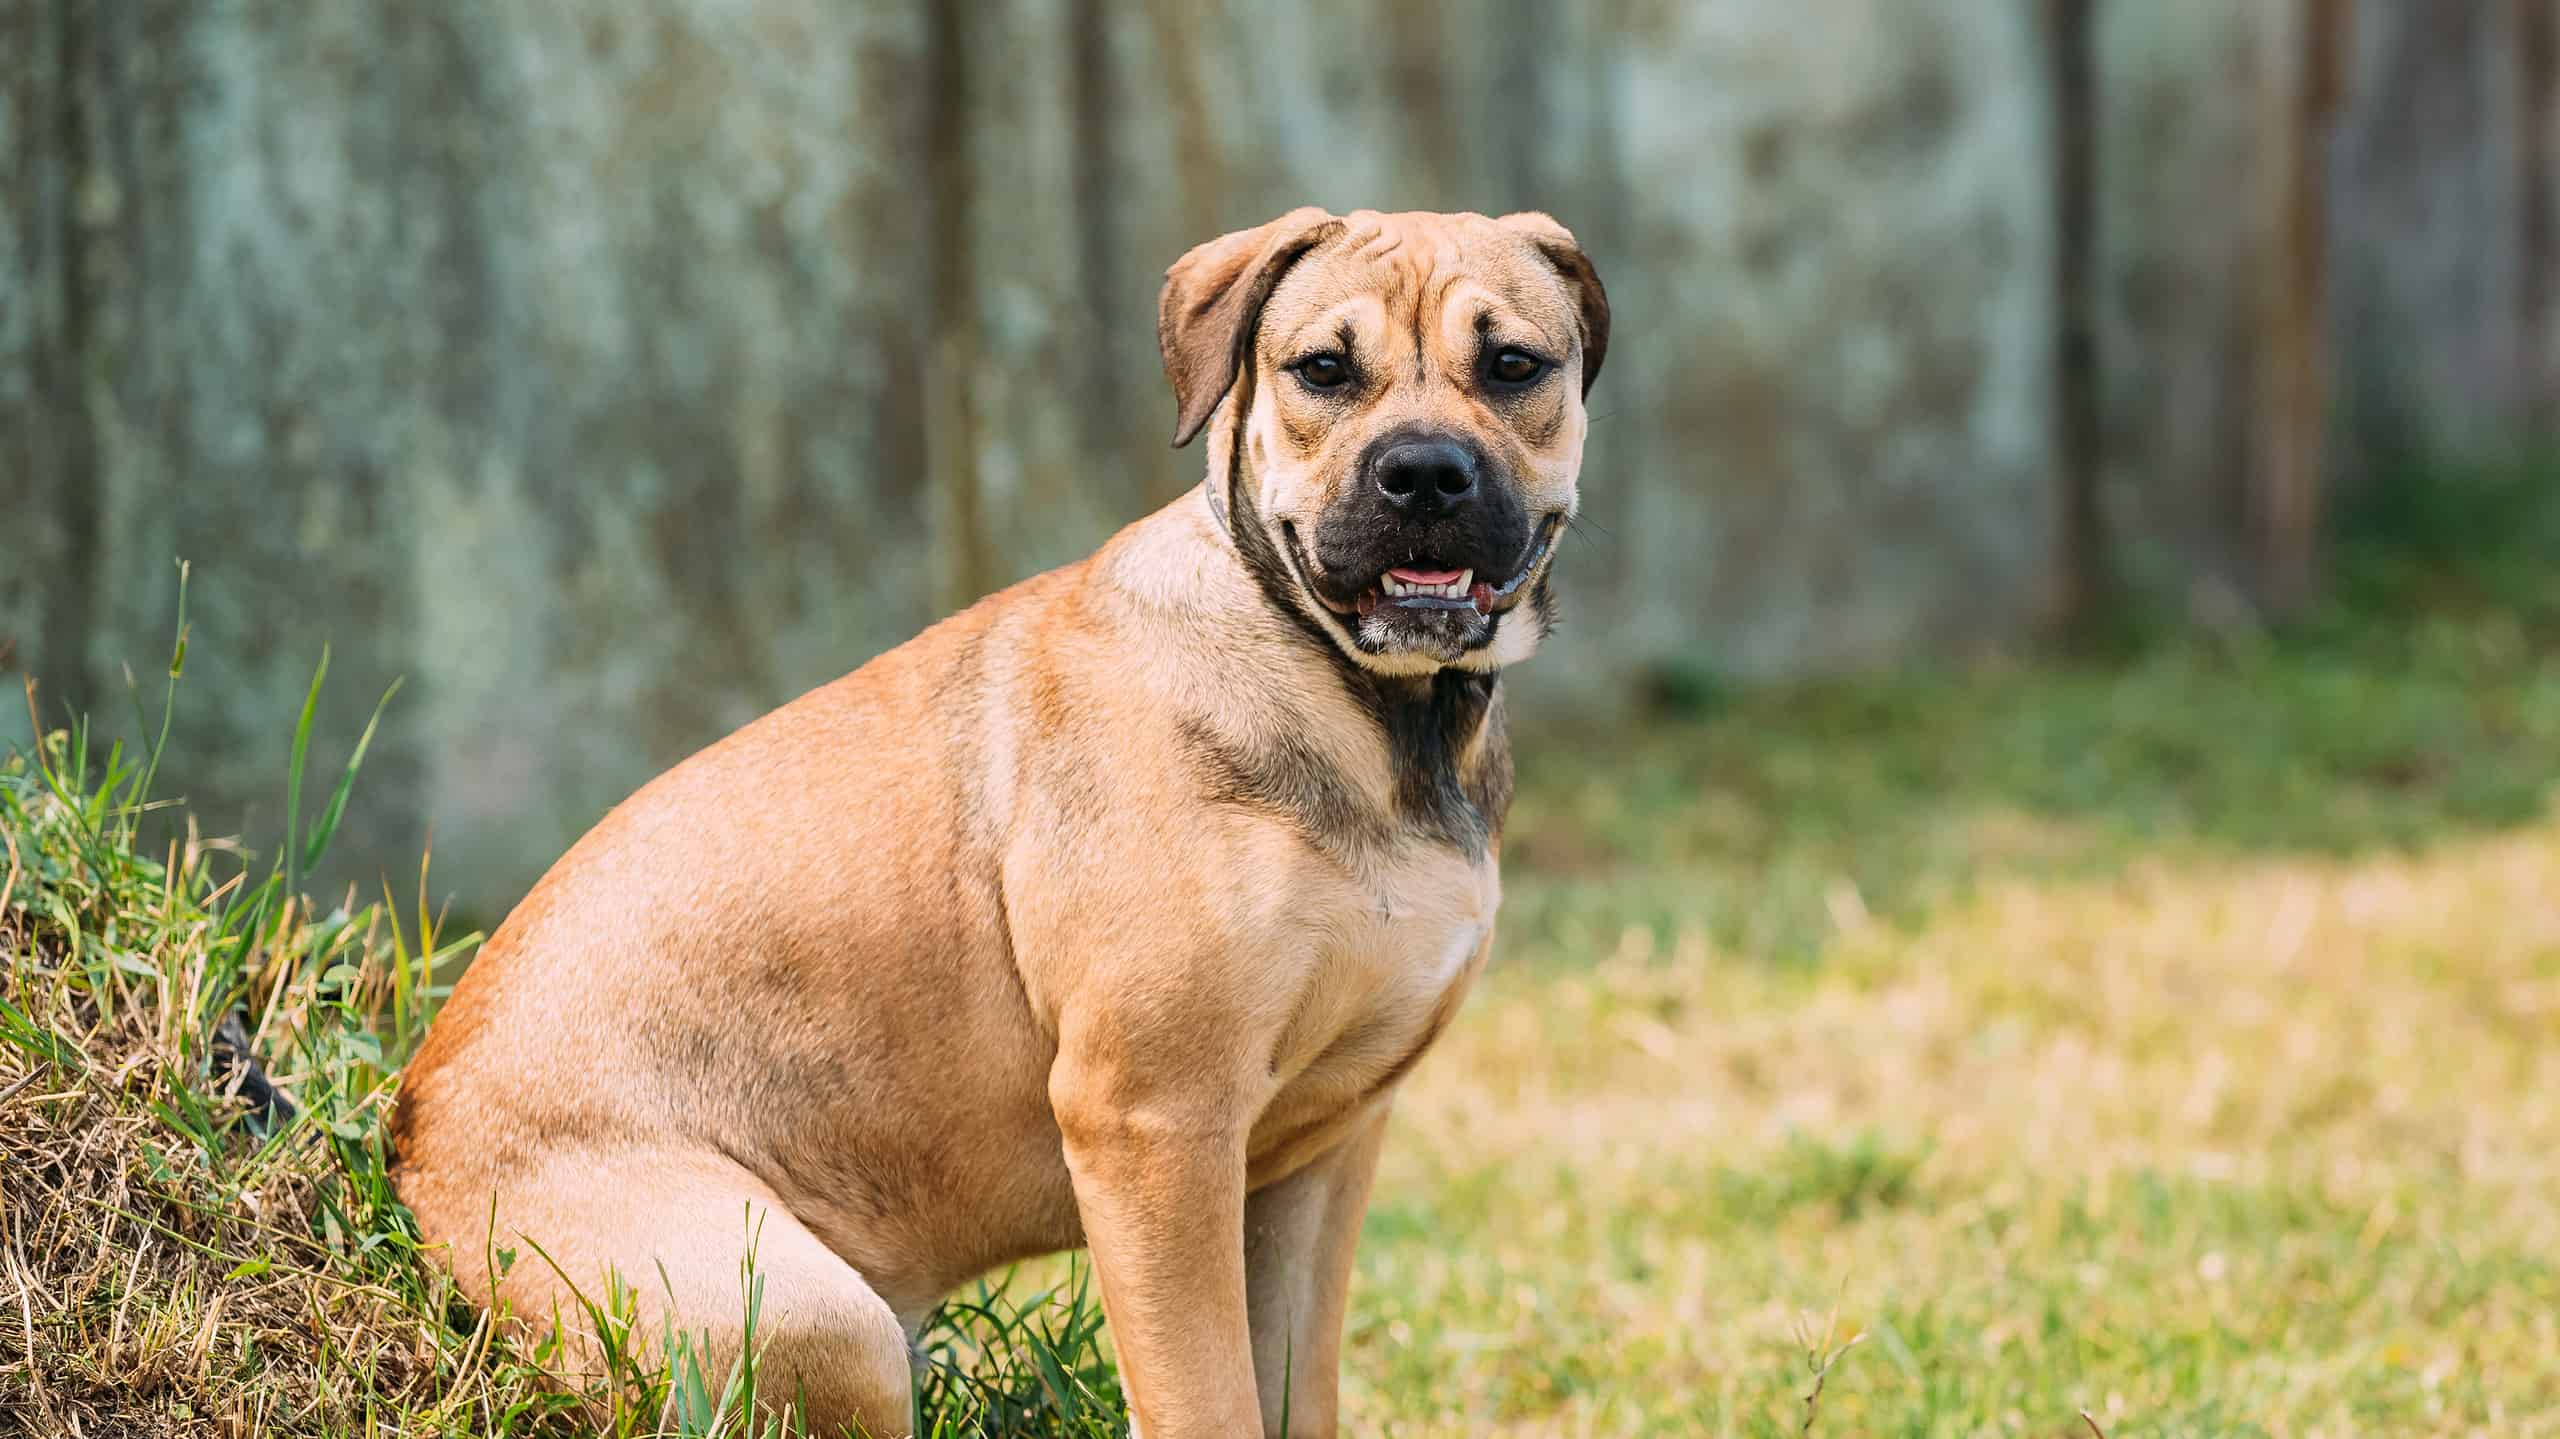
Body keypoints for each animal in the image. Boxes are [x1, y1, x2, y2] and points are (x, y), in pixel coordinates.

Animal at [389, 204, 1597, 1433]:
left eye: (1513, 366)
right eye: (1322, 370)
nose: (1424, 473)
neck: (1376, 711)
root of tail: (410, 1137)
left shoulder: (1325, 1149)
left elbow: (1294, 1392)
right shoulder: (1154, 1122)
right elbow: (1205, 1397)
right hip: (812, 1318)